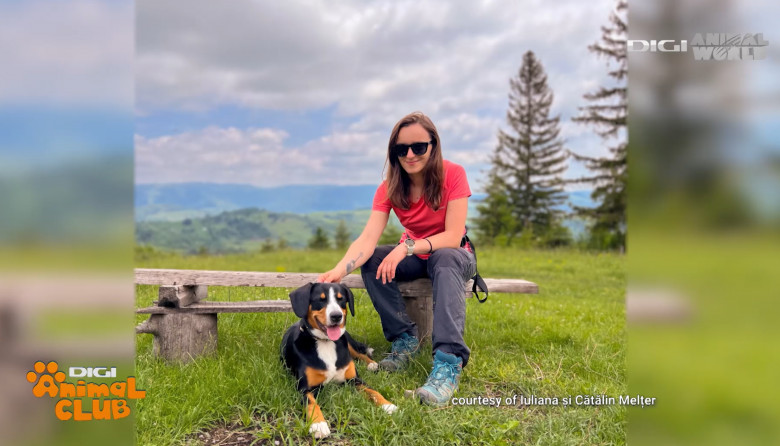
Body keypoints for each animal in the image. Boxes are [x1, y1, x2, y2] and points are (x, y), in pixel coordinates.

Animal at [280, 282, 396, 440]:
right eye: (321, 299)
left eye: (341, 299)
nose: (336, 316)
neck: (326, 342)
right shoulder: (304, 388)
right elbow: (312, 404)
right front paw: (319, 424)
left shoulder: (354, 379)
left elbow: (373, 391)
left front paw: (387, 405)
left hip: (347, 339)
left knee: (360, 353)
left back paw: (372, 364)